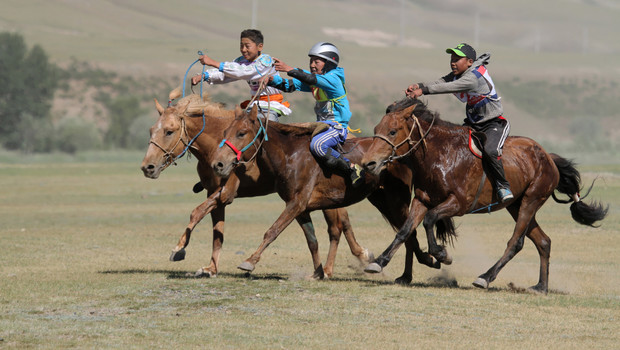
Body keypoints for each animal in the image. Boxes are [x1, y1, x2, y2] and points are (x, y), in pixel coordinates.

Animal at [140, 93, 372, 278]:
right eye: (151, 130)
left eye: (169, 131)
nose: (147, 167)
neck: (214, 147)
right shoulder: (216, 194)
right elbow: (216, 231)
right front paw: (210, 268)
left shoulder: (226, 193)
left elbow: (197, 213)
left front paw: (179, 249)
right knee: (343, 224)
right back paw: (359, 257)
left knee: (336, 228)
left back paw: (341, 265)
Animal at [209, 102, 456, 280]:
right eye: (226, 130)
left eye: (241, 133)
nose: (218, 164)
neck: (290, 154)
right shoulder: (300, 208)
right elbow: (312, 240)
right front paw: (319, 272)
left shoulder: (296, 203)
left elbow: (273, 231)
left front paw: (249, 261)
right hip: (381, 200)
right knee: (407, 232)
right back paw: (408, 272)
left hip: (396, 201)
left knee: (409, 231)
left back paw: (416, 267)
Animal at [360, 97, 608, 294]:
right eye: (376, 128)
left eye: (392, 131)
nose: (368, 163)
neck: (440, 154)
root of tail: (548, 157)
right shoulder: (422, 200)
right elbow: (405, 230)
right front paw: (379, 262)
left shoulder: (458, 204)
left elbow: (430, 220)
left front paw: (441, 254)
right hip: (516, 205)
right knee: (543, 241)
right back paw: (541, 287)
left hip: (531, 201)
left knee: (515, 242)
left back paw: (486, 277)